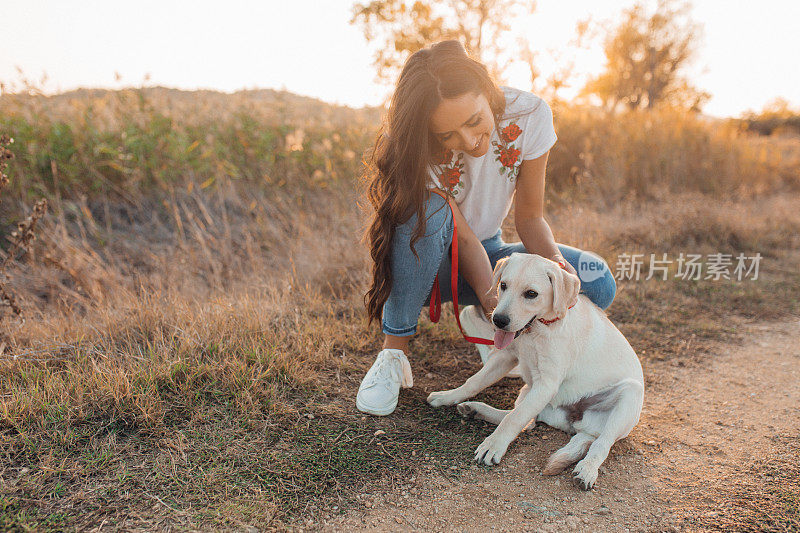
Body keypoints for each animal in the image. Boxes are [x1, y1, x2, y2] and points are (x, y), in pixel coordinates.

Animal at [424, 251, 644, 488]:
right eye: (503, 285)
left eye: (531, 294)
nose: (498, 320)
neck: (537, 330)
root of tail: (580, 425)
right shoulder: (507, 356)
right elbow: (475, 382)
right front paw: (448, 396)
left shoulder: (546, 384)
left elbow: (515, 418)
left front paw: (493, 446)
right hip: (528, 390)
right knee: (526, 421)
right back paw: (474, 409)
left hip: (628, 398)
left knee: (601, 443)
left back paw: (587, 469)